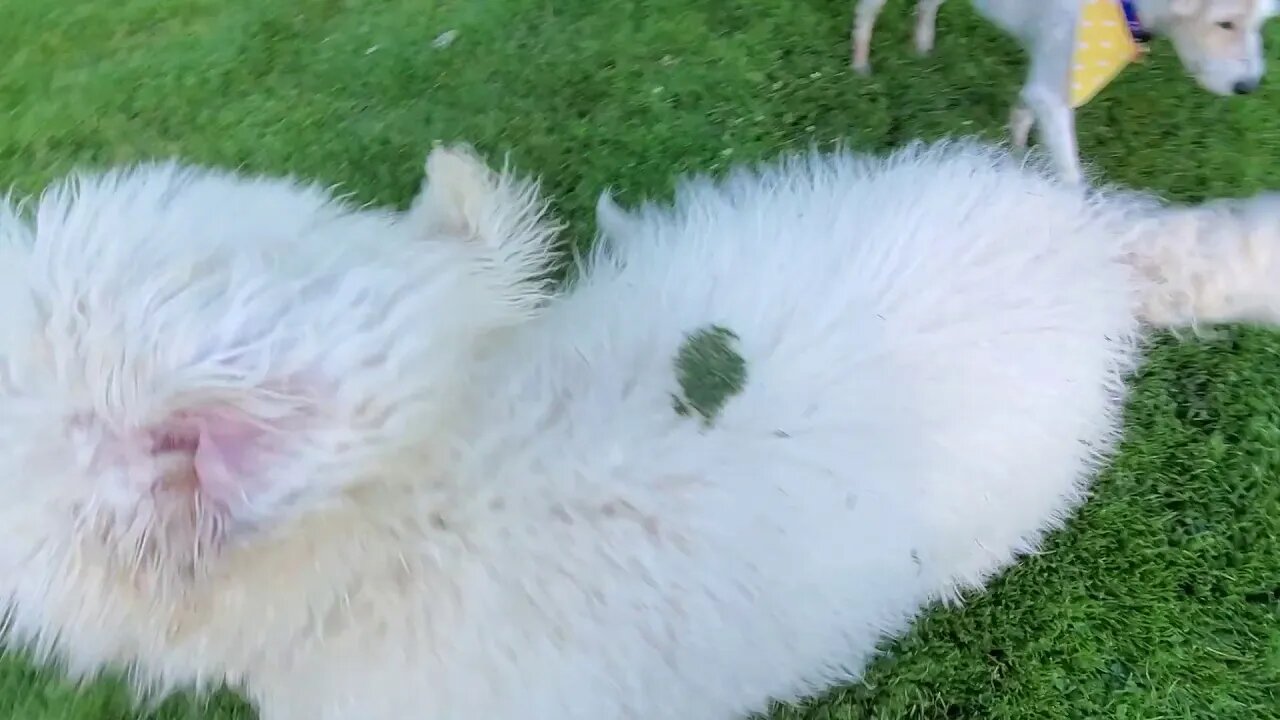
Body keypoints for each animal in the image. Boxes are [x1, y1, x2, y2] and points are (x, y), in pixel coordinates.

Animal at [855, 0, 1274, 184]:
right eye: (1225, 23)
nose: (1248, 87)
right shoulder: (1051, 92)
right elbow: (1070, 174)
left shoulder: (1047, 83)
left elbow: (1022, 115)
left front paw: (1016, 159)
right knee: (866, 12)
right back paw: (859, 67)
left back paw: (923, 48)